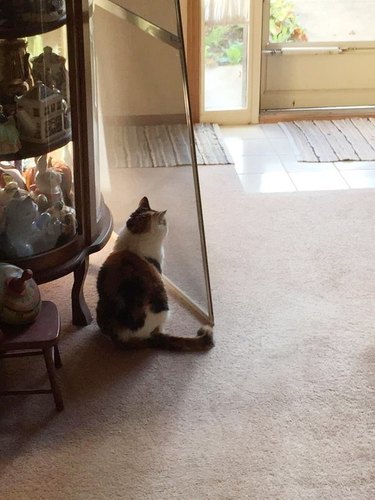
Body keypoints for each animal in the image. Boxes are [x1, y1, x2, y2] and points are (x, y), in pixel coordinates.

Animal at [96, 196, 214, 352]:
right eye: (164, 222)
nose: (167, 224)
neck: (135, 239)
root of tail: (125, 337)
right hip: (163, 305)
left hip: (100, 306)